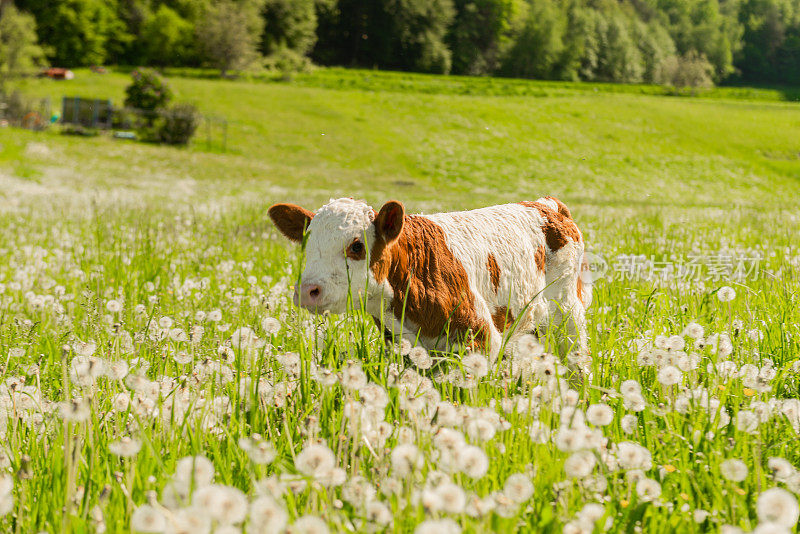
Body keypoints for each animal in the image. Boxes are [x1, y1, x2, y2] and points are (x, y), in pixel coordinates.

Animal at [268, 198, 588, 360]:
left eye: (357, 246)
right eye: (306, 243)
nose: (308, 290)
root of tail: (546, 205)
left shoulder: (481, 337)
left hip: (568, 313)